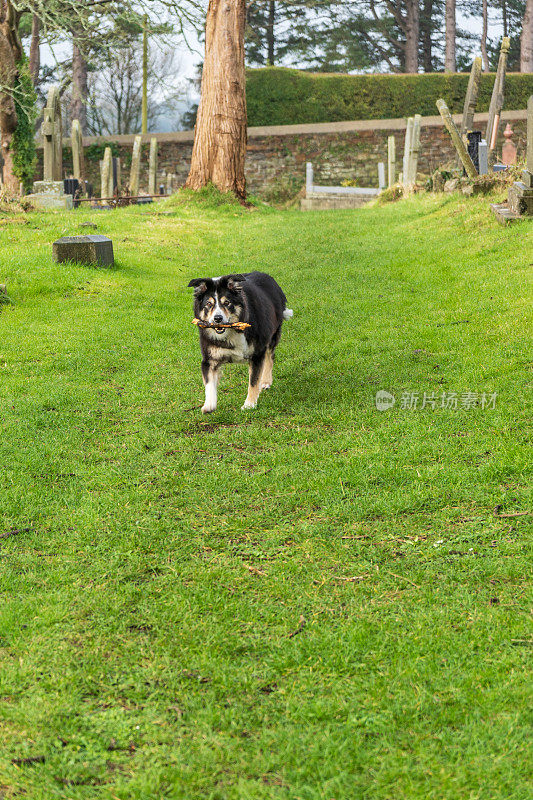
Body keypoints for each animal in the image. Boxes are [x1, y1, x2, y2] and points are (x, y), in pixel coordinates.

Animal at [189, 274, 294, 416]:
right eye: (209, 304)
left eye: (227, 303)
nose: (217, 319)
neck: (231, 332)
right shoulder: (209, 359)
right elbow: (209, 384)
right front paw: (209, 405)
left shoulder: (257, 354)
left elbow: (253, 381)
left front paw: (249, 404)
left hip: (272, 335)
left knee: (270, 357)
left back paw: (266, 381)